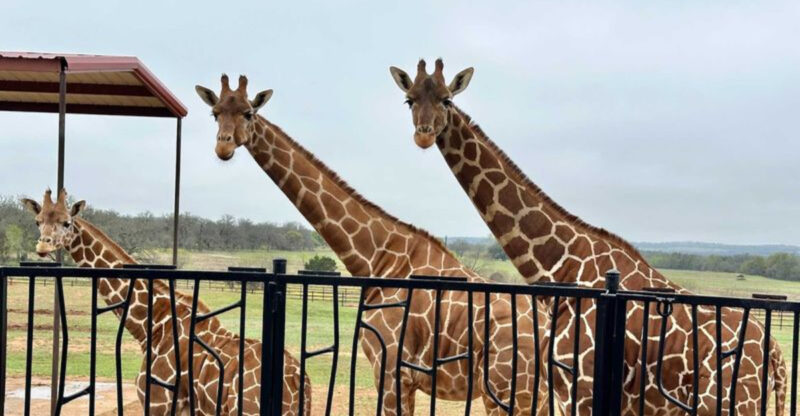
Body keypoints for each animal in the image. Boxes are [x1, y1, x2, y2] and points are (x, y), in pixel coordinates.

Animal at [20, 188, 310, 416]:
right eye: (37, 221)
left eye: (67, 222)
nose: (43, 246)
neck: (154, 323)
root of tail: (298, 380)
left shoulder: (158, 402)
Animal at [195, 74, 552, 415]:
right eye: (215, 114)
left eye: (248, 113)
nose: (223, 147)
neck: (378, 255)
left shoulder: (391, 369)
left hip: (506, 392)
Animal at [388, 58, 788, 415]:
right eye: (409, 99)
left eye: (447, 100)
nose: (423, 134)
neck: (560, 265)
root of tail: (775, 353)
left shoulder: (580, 390)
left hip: (733, 405)